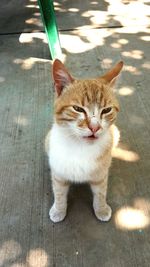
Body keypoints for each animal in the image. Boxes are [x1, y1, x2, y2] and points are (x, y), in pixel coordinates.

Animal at [46, 59, 123, 224]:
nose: (95, 127)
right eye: (78, 109)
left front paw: (101, 209)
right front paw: (58, 210)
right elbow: (59, 193)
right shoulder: (58, 173)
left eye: (106, 110)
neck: (80, 146)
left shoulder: (100, 176)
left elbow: (101, 193)